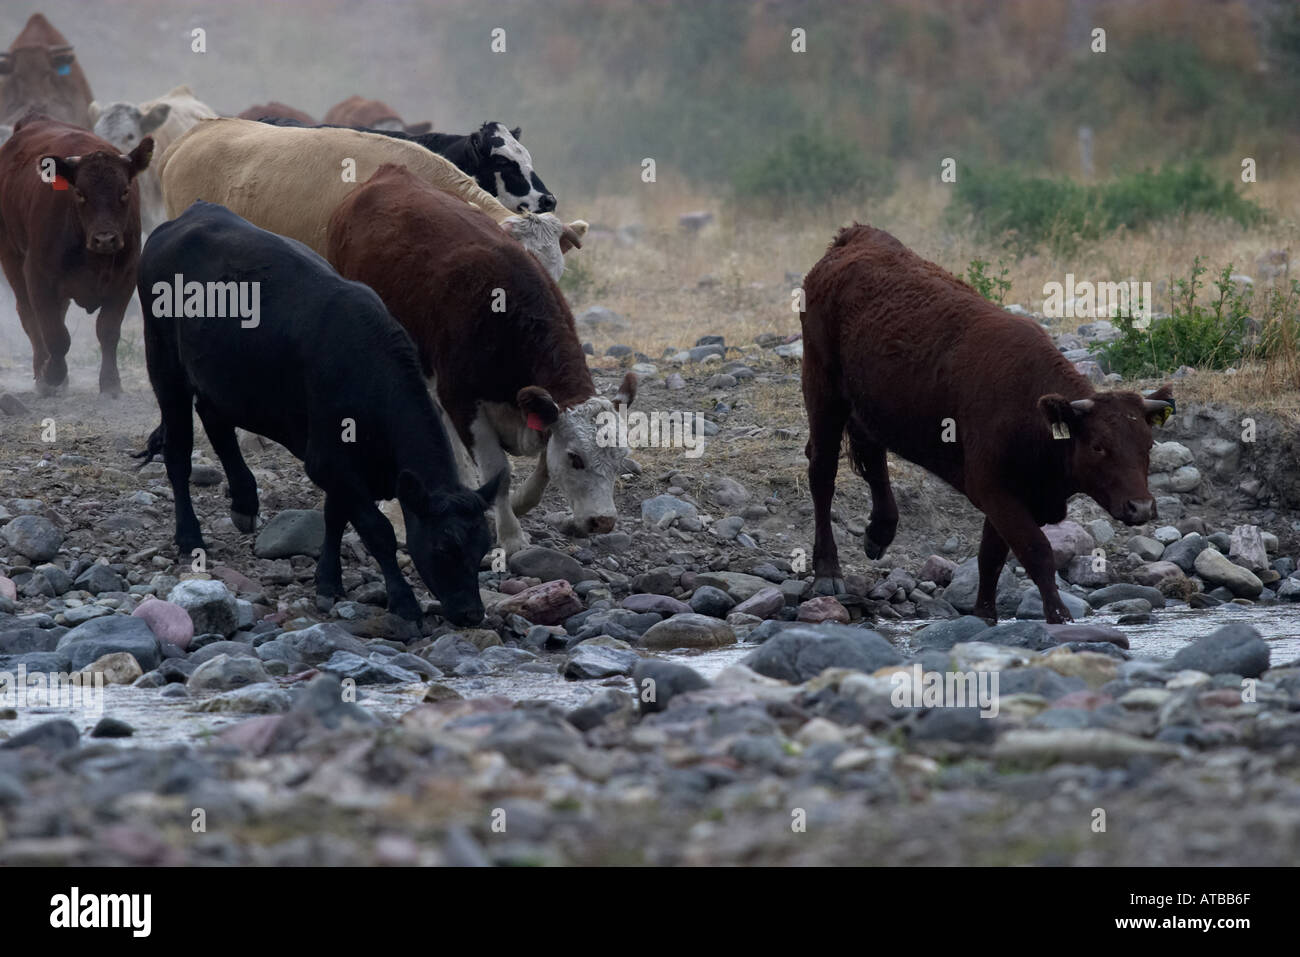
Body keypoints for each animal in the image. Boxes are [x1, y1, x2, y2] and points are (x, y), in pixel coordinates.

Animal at [0, 113, 151, 395]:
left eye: (125, 190)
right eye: (80, 193)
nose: (105, 239)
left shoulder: (125, 278)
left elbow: (108, 330)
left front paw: (111, 383)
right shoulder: (37, 276)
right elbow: (56, 335)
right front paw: (52, 375)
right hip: (11, 258)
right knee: (29, 317)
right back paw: (43, 372)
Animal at [134, 201, 501, 632]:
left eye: (484, 548)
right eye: (445, 546)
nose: (472, 614)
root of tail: (191, 214)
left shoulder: (342, 464)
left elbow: (335, 516)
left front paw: (328, 581)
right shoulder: (328, 457)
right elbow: (377, 531)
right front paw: (404, 601)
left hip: (220, 375)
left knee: (215, 420)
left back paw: (245, 501)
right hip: (163, 362)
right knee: (178, 452)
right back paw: (190, 536)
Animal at [328, 163, 636, 553]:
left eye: (620, 458)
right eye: (576, 458)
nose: (603, 521)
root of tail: (388, 173)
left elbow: (542, 467)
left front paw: (518, 504)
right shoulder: (463, 400)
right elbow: (498, 472)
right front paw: (511, 537)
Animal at [801, 225, 1174, 625]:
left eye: (1147, 445)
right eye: (1098, 445)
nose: (1140, 507)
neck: (1030, 411)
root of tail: (856, 235)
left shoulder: (1009, 494)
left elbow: (990, 556)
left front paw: (983, 614)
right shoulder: (992, 488)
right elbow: (1035, 551)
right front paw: (1059, 616)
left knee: (872, 454)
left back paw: (879, 533)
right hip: (822, 389)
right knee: (822, 473)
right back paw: (827, 572)